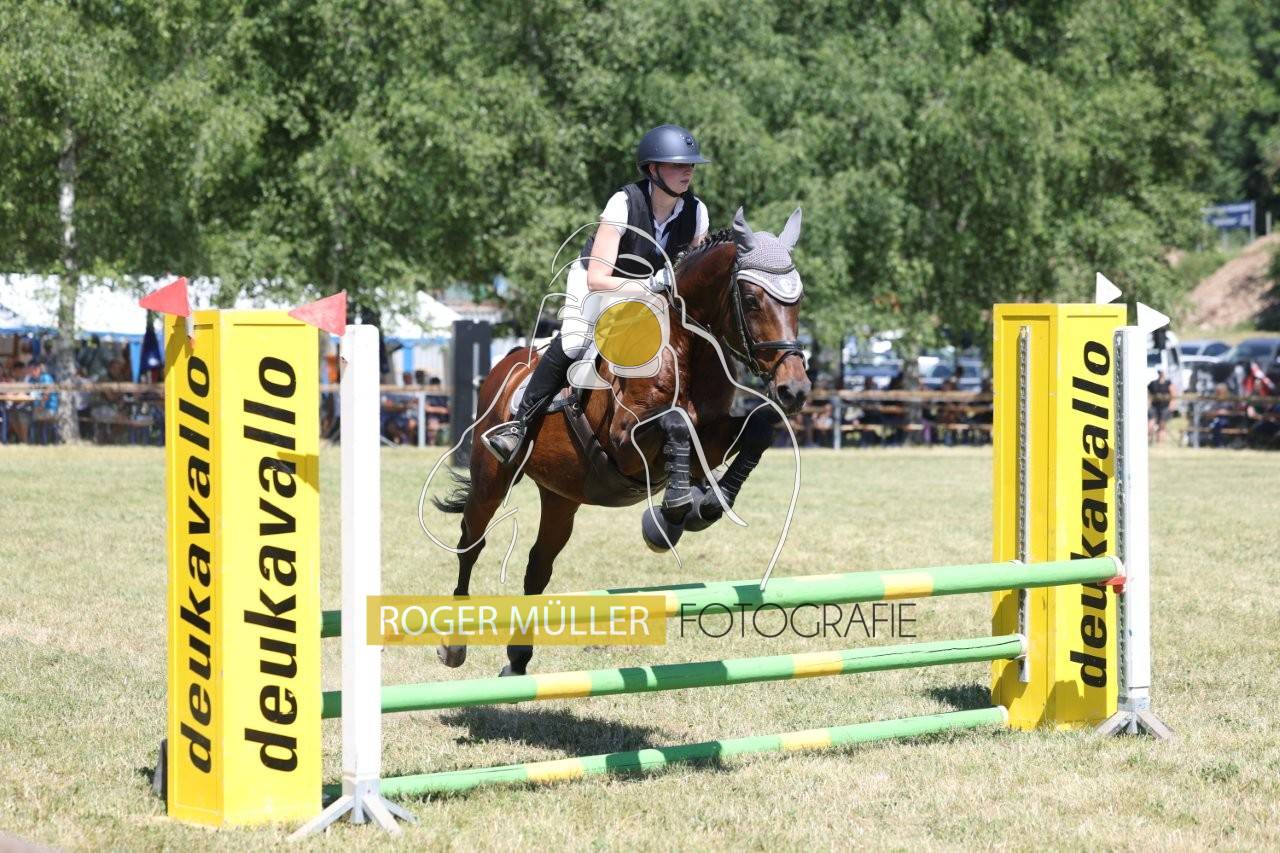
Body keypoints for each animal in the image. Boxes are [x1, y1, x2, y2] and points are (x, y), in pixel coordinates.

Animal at [432, 207, 810, 675]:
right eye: (753, 299)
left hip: (562, 494)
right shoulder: (623, 441)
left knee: (538, 566)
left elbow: (758, 428)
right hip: (493, 475)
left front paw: (706, 503)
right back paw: (454, 644)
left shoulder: (714, 434)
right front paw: (678, 507)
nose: (795, 389)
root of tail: (506, 365)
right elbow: (676, 424)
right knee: (472, 541)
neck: (686, 348)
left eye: (799, 300)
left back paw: (517, 662)